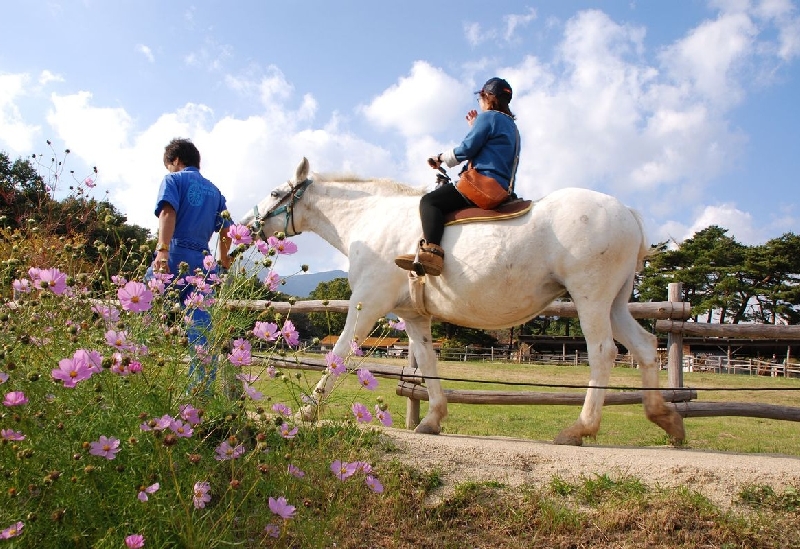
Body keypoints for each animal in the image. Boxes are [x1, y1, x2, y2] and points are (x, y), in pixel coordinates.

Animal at [241, 158, 684, 446]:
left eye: (276, 191)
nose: (246, 225)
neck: (374, 219)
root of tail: (626, 211)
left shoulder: (367, 302)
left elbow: (340, 352)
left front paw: (306, 412)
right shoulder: (412, 316)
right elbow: (429, 362)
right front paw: (433, 419)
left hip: (590, 297)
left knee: (602, 352)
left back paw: (581, 428)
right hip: (615, 302)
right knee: (645, 347)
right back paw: (665, 418)